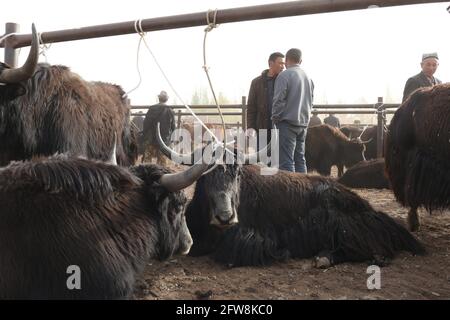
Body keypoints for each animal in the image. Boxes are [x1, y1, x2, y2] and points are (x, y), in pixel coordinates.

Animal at [157, 127, 426, 268]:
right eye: (204, 177)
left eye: (237, 173)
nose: (225, 217)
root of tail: (369, 209)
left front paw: (283, 253)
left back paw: (325, 258)